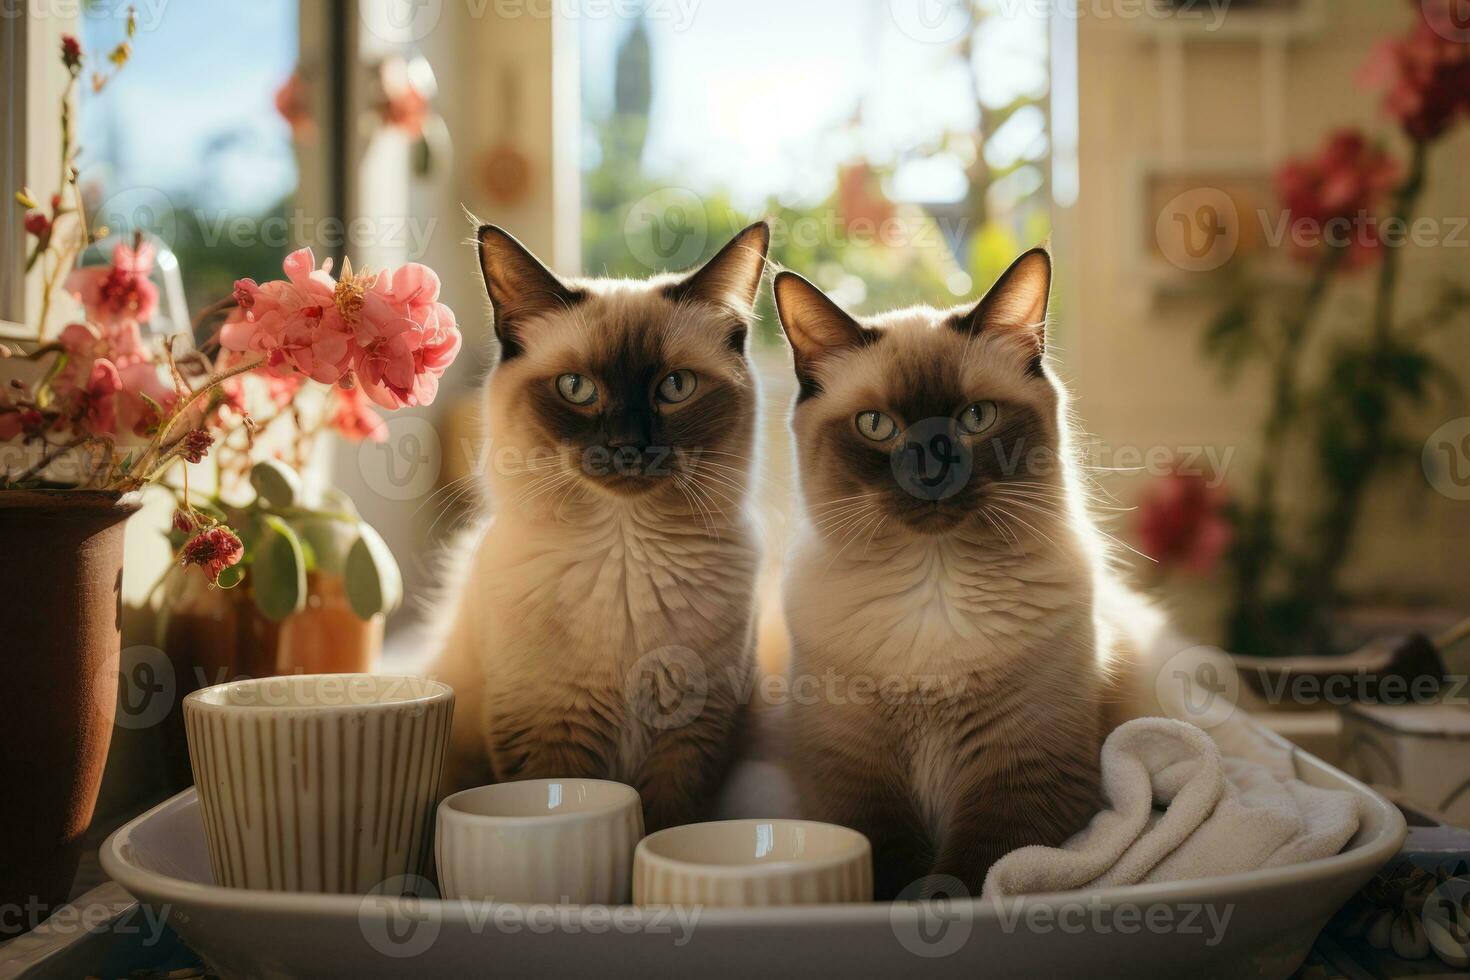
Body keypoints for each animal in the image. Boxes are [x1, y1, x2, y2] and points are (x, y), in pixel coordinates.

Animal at [429, 220, 776, 828]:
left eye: (675, 387)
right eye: (577, 388)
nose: (627, 446)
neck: (625, 560)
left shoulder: (690, 743)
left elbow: (664, 830)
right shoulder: (548, 733)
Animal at [770, 251, 1123, 899]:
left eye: (974, 418)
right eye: (876, 425)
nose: (932, 472)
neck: (933, 591)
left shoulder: (1025, 777)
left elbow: (965, 875)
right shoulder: (855, 779)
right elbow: (891, 863)